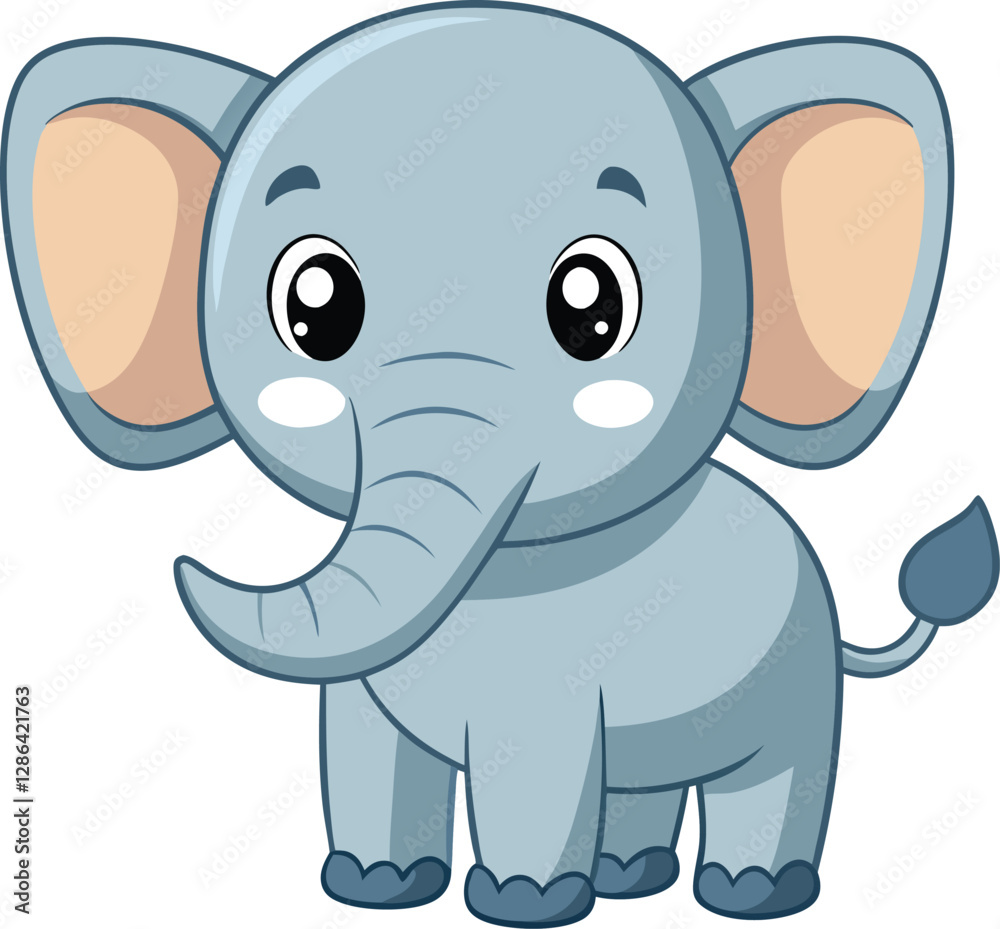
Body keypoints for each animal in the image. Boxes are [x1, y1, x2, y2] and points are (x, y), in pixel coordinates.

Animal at [4, 2, 999, 924]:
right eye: (313, 305)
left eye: (592, 306)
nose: (183, 564)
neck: (504, 571)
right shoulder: (362, 687)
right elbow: (364, 751)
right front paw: (375, 886)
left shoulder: (552, 688)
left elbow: (535, 770)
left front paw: (521, 901)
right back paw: (631, 877)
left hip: (796, 682)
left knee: (772, 775)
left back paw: (751, 891)